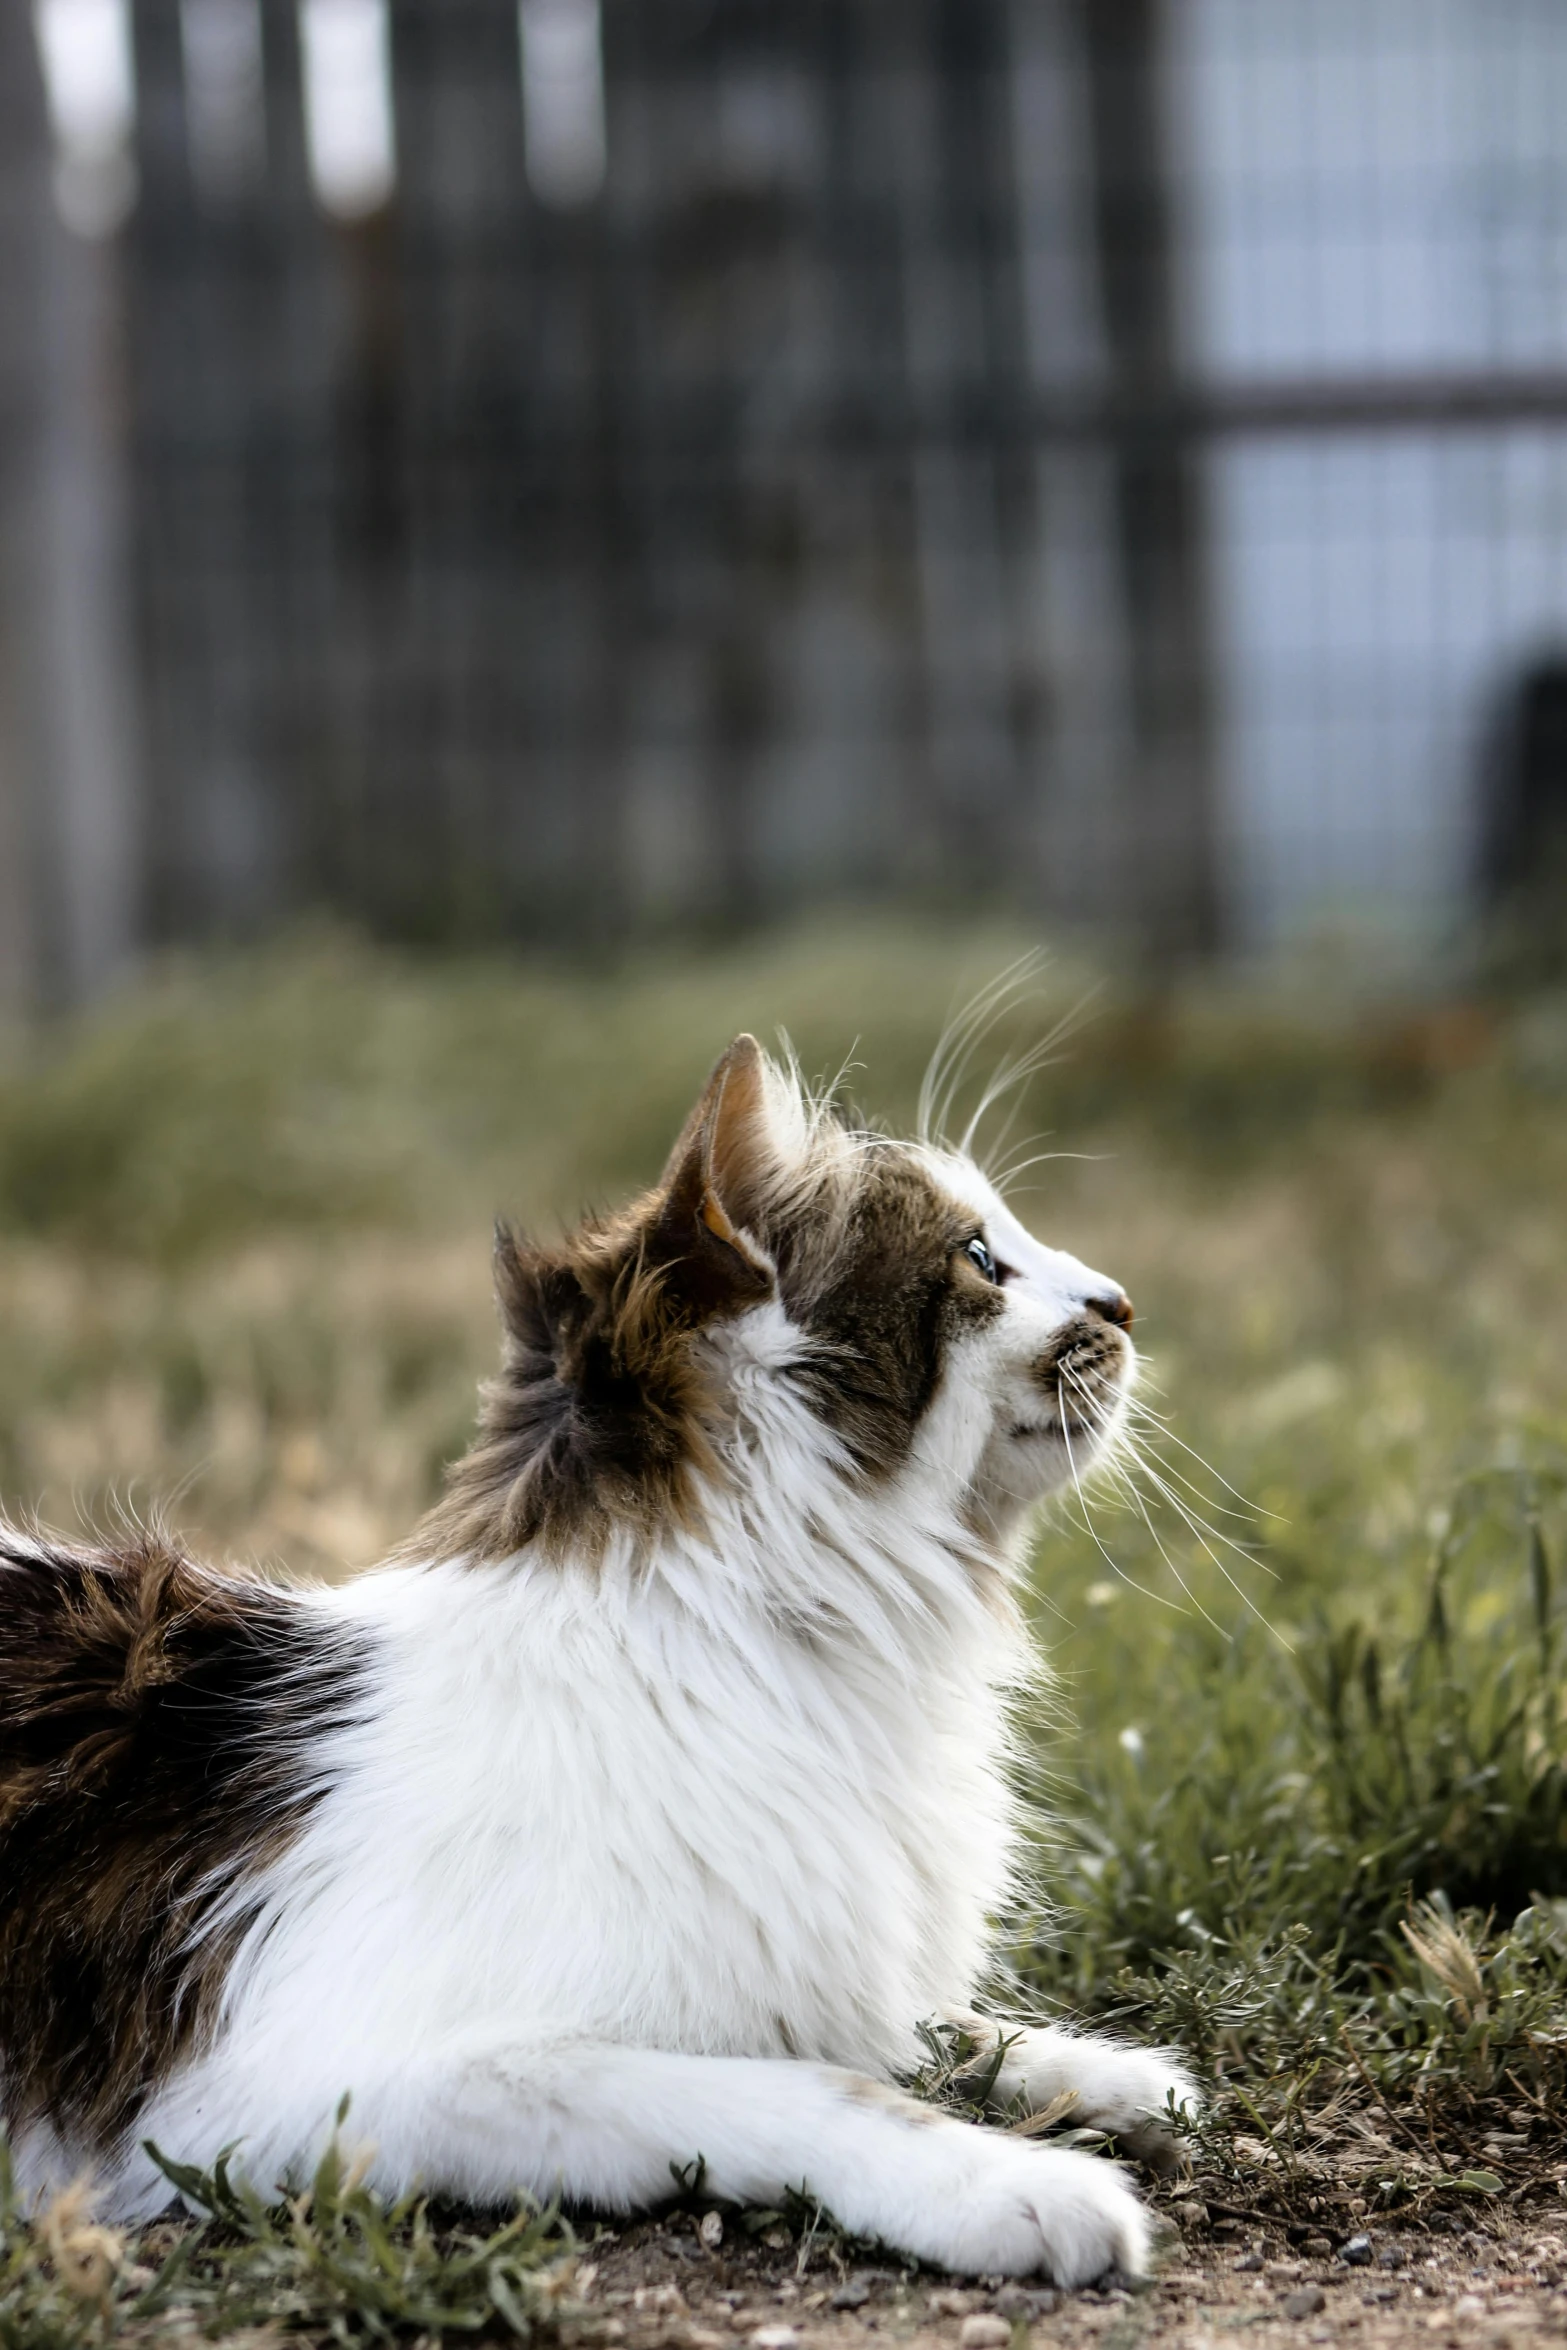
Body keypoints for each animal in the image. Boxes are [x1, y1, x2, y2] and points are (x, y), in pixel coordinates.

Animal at [0, 1038, 1188, 2284]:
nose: (1121, 1299)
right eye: (980, 1259)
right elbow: (813, 2088)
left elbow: (929, 2026)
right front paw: (1014, 2181)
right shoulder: (300, 2094)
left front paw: (1108, 2072)